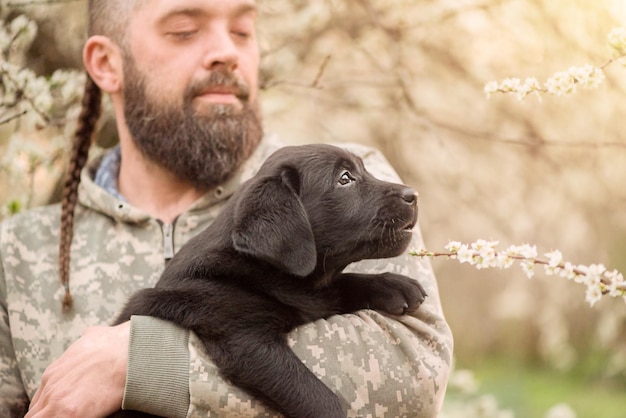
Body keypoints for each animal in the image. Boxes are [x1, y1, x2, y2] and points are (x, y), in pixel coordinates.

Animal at [109, 144, 426, 418]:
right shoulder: (245, 339)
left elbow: (342, 285)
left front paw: (395, 285)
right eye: (345, 178)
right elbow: (317, 397)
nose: (413, 194)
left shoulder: (317, 294)